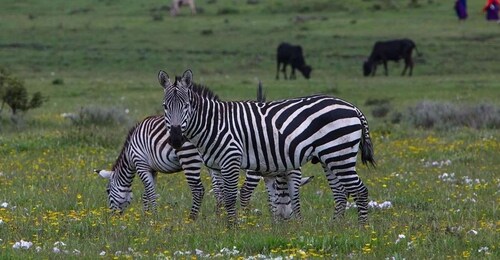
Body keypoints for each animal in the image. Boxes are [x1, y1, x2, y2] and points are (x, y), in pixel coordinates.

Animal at [160, 69, 376, 225]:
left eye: (186, 105)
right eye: (165, 106)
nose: (176, 139)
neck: (214, 123)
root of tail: (353, 107)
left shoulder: (231, 159)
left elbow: (230, 197)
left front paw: (233, 228)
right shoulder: (216, 167)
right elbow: (221, 197)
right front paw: (222, 226)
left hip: (339, 154)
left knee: (360, 190)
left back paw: (362, 229)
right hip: (329, 157)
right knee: (340, 192)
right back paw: (334, 227)